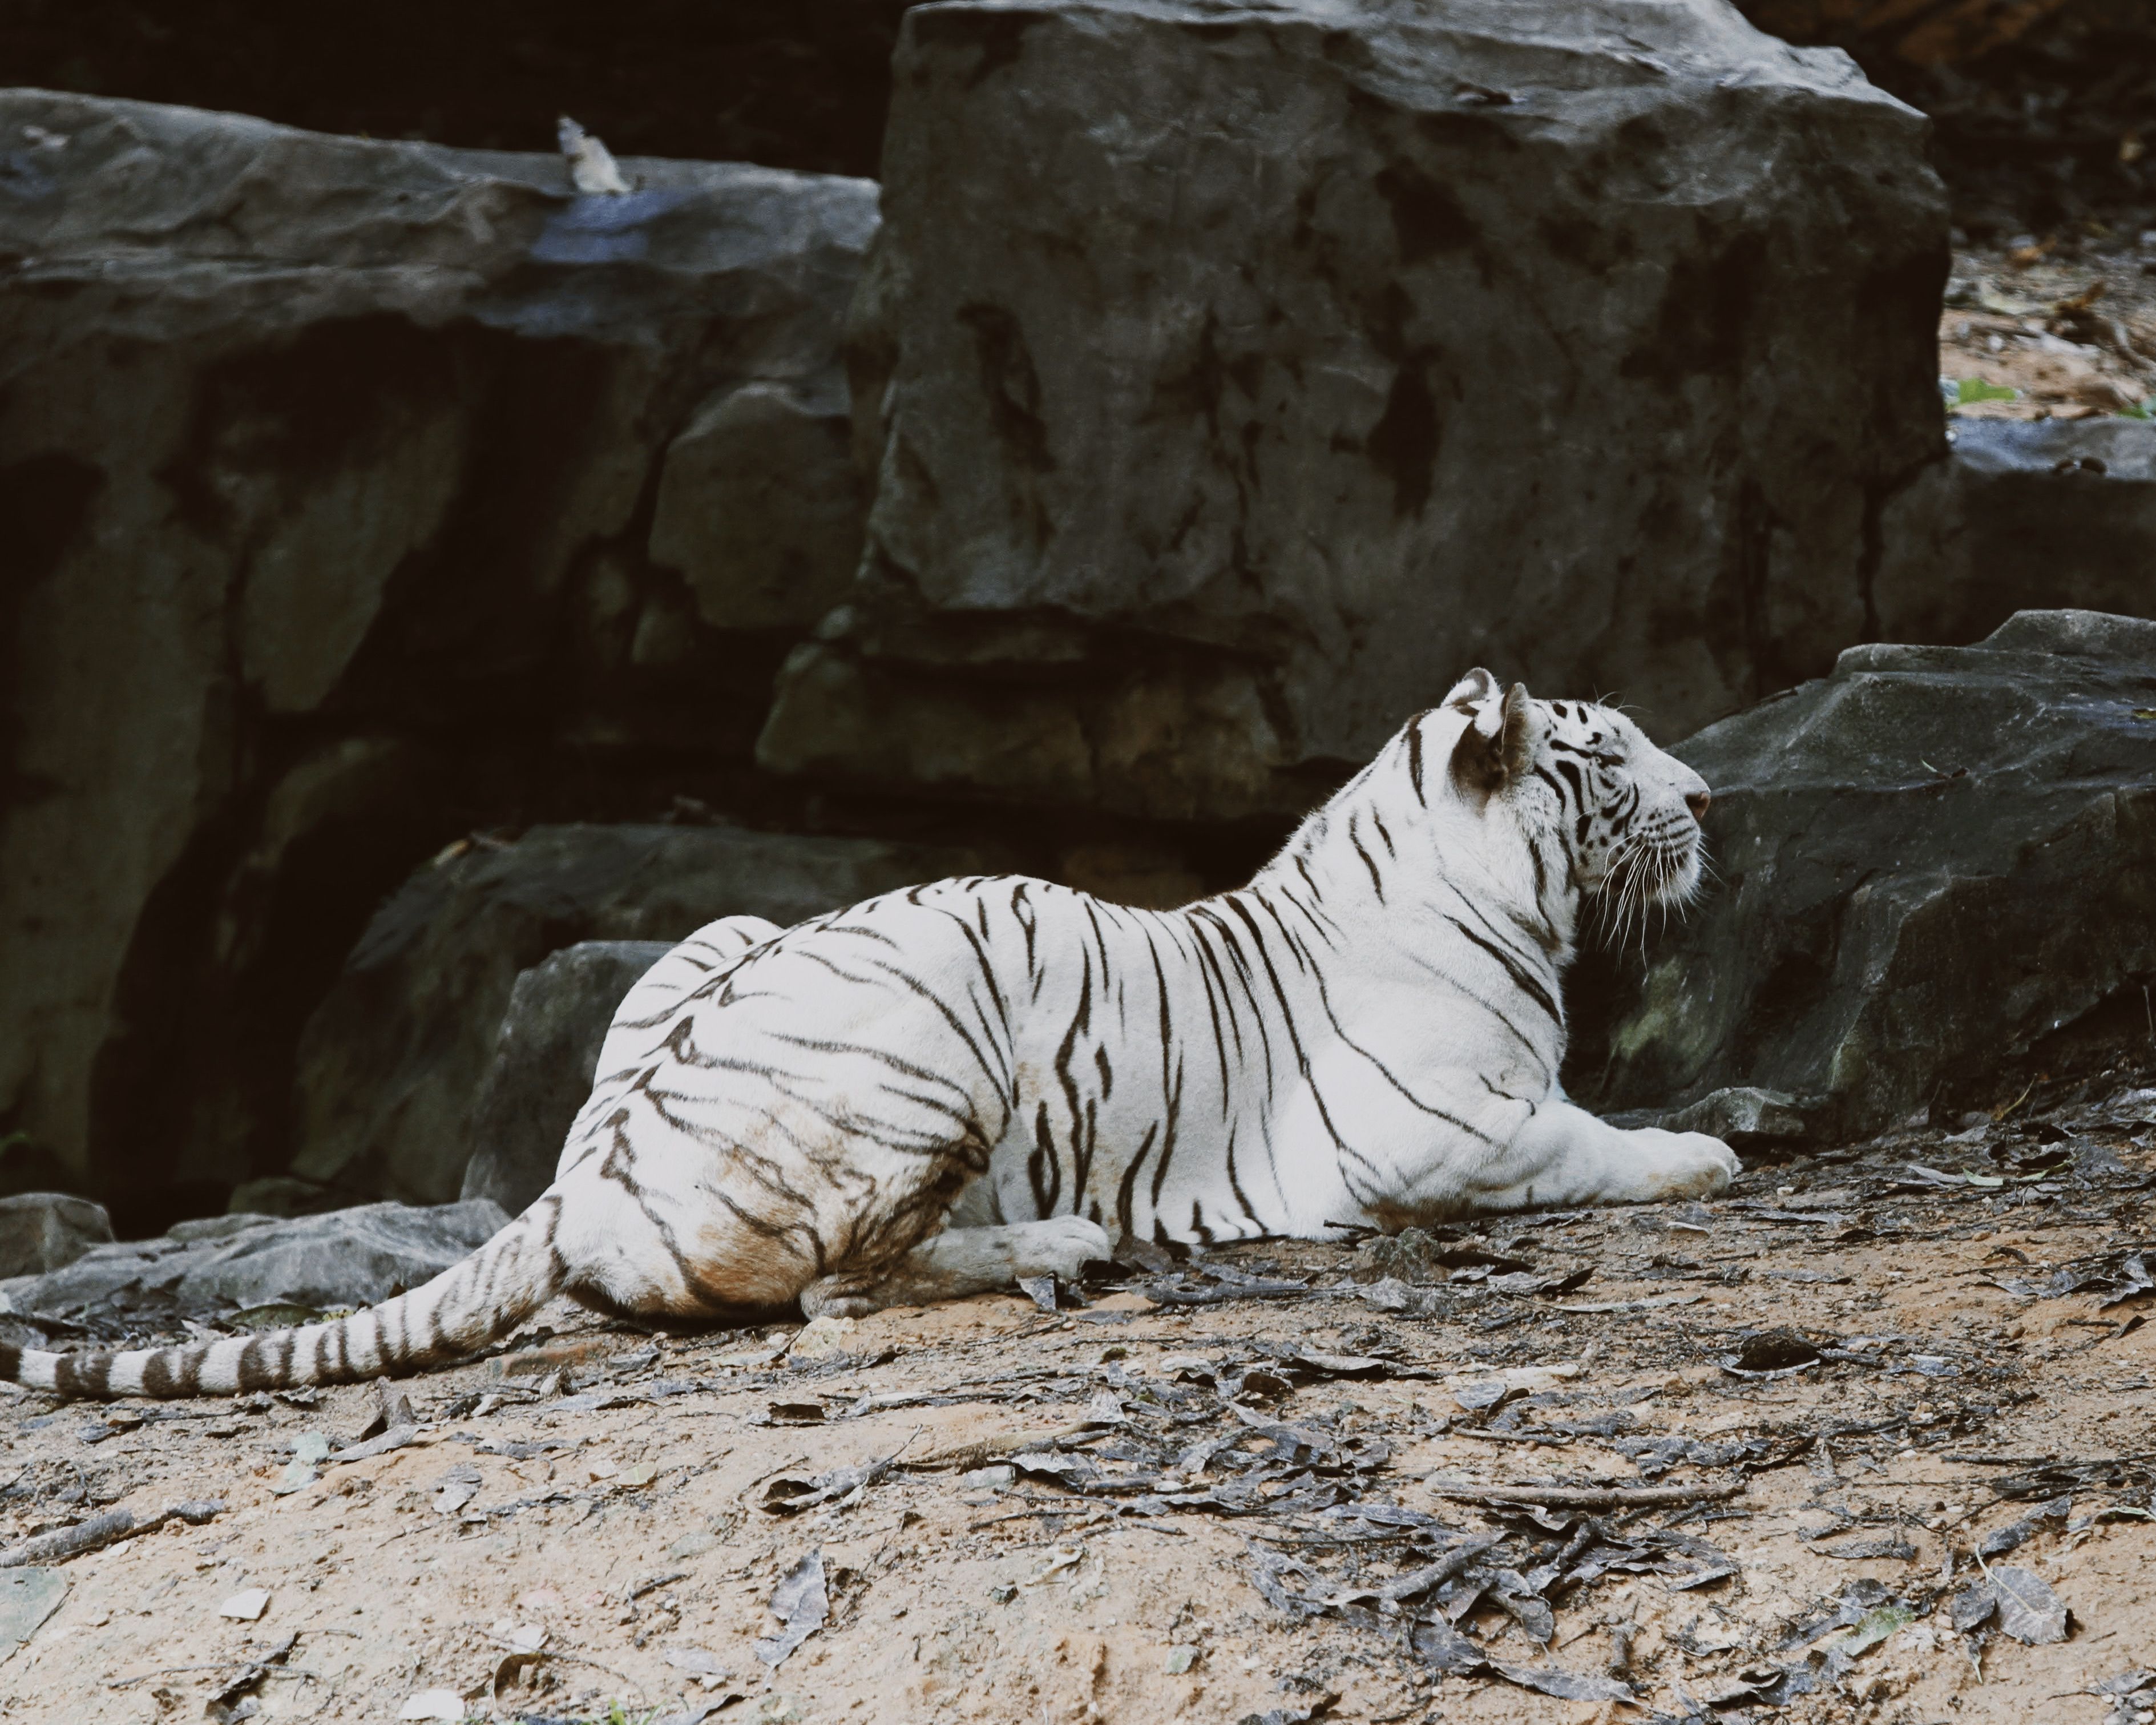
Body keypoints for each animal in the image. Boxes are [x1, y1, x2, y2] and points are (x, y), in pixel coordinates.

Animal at [0, 670, 1737, 1399]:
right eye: (1608, 751)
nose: (1715, 796)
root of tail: (582, 1172)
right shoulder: (1438, 1128)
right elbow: (1597, 1140)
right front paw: (1708, 1148)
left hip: (715, 941)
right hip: (927, 1034)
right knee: (836, 1286)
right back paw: (1055, 1245)